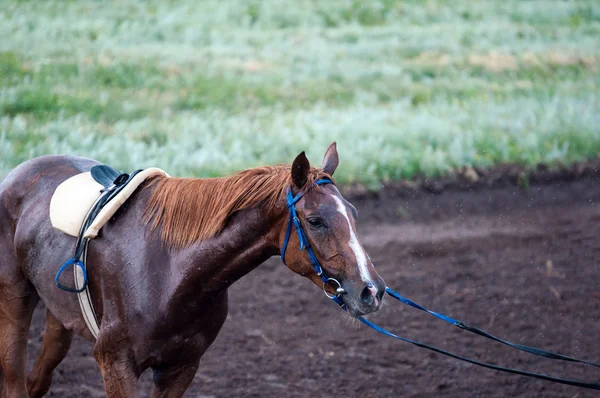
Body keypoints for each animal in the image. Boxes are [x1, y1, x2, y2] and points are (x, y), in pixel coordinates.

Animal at [0, 144, 384, 398]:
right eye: (315, 221)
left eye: (353, 212)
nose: (371, 290)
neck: (170, 271)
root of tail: (18, 172)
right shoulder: (115, 364)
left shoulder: (180, 368)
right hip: (15, 301)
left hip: (59, 315)